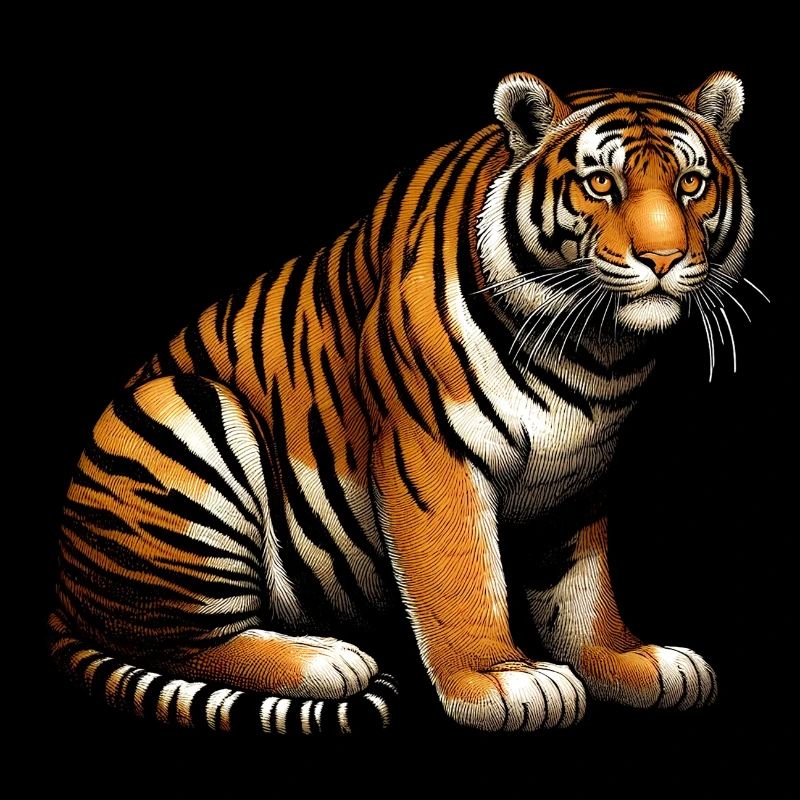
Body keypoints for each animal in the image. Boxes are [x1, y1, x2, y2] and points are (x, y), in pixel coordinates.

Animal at [50, 70, 753, 735]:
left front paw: (636, 661)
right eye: (602, 183)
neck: (598, 349)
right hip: (179, 412)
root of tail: (64, 588)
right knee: (185, 644)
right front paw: (501, 680)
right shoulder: (434, 449)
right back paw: (327, 660)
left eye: (692, 184)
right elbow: (462, 576)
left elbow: (582, 593)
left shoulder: (579, 475)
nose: (662, 258)